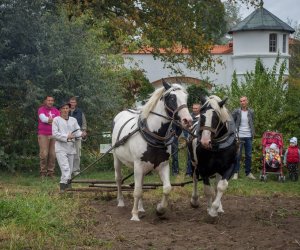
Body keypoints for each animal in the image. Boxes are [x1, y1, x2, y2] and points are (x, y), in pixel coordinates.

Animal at [111, 82, 191, 221]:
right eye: (172, 98)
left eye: (186, 97)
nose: (188, 120)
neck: (154, 134)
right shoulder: (138, 165)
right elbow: (137, 191)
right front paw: (134, 215)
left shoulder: (163, 165)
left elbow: (167, 188)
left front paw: (160, 209)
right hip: (117, 159)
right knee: (119, 179)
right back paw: (121, 202)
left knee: (141, 183)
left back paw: (141, 208)